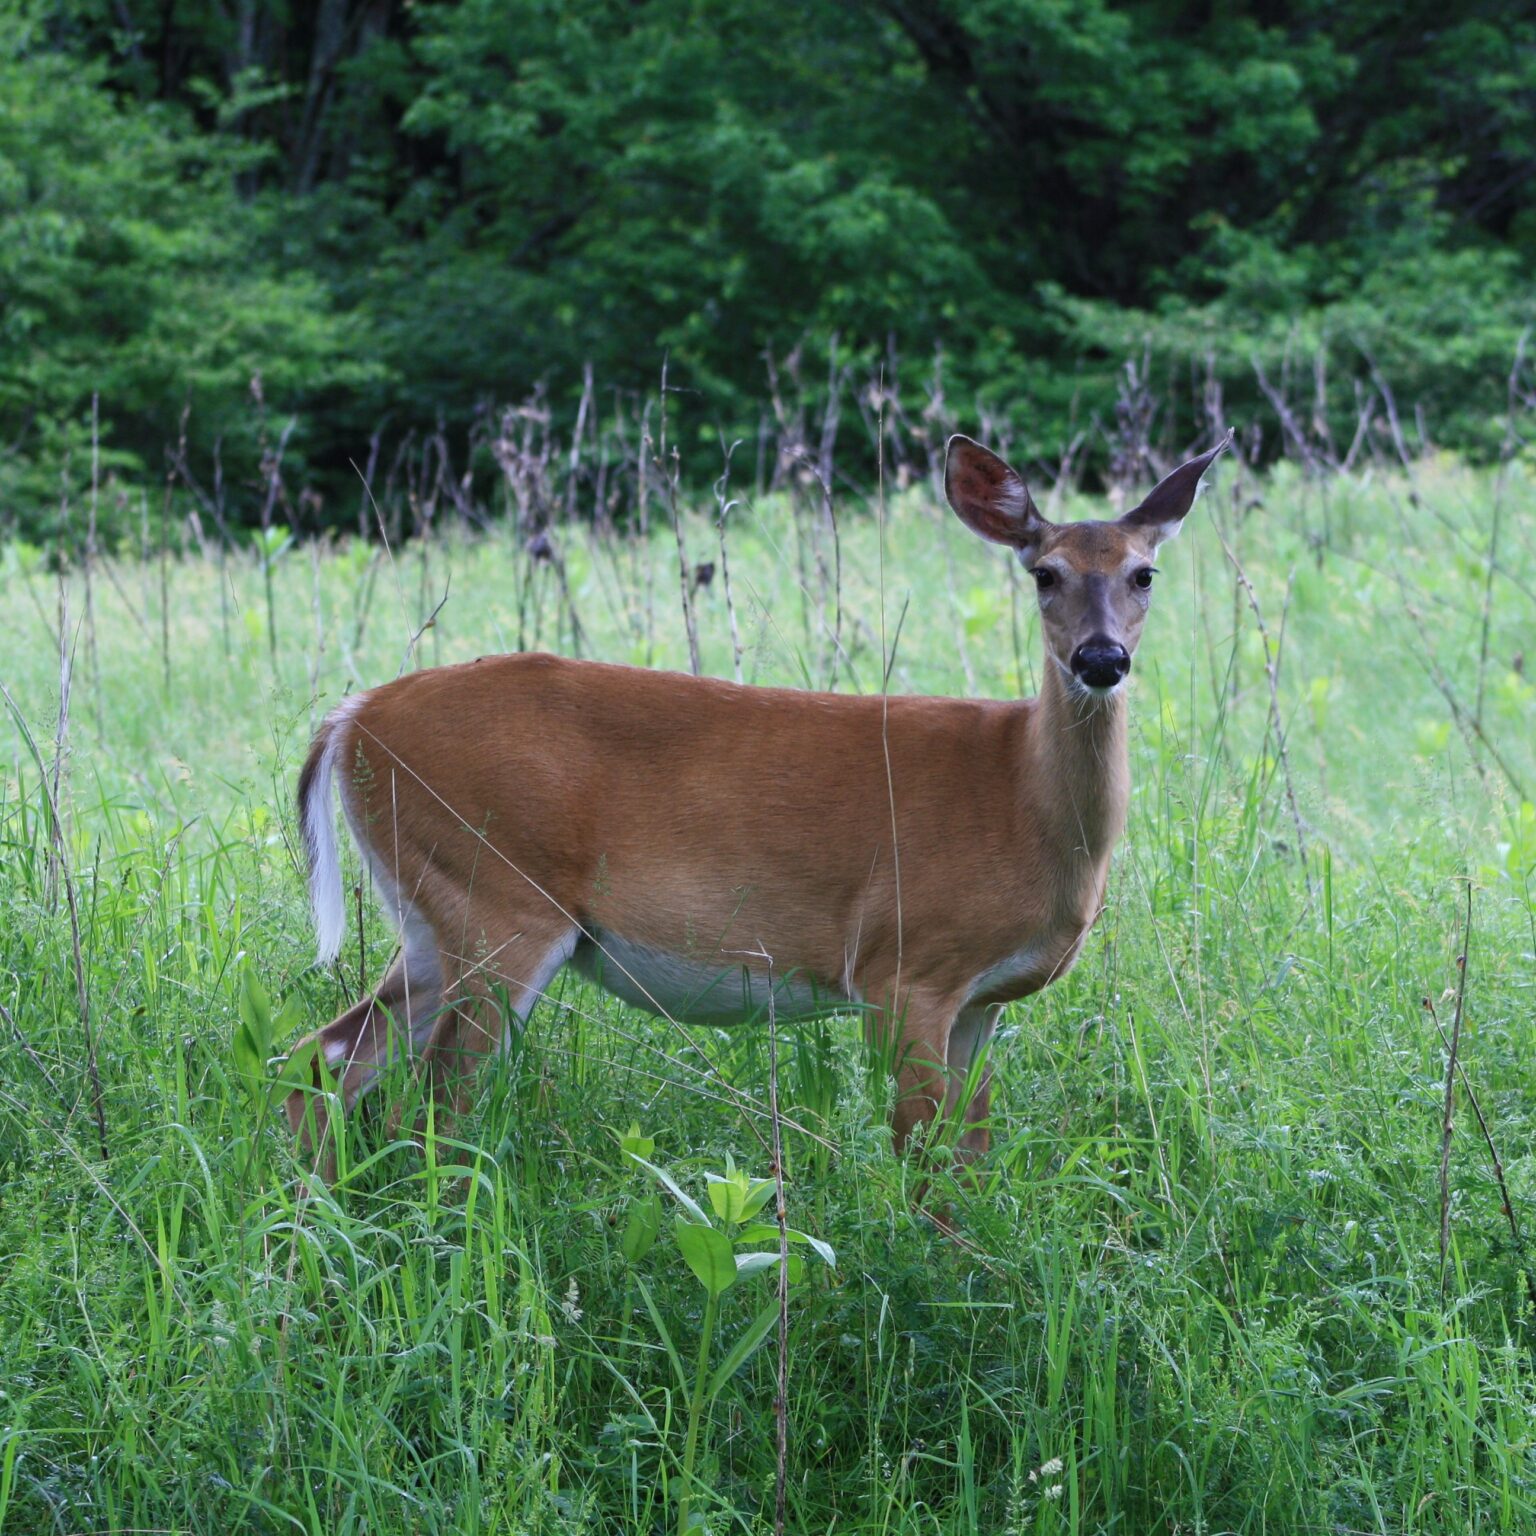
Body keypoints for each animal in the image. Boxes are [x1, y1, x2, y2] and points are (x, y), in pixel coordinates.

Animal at [282, 433, 1228, 1173]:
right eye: (1044, 574)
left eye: (1144, 573)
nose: (1100, 659)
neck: (1021, 803)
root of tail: (352, 716)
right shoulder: (903, 965)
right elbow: (921, 1163)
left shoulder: (982, 1002)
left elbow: (971, 1158)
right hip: (496, 899)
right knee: (431, 1107)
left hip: (431, 916)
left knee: (324, 1057)